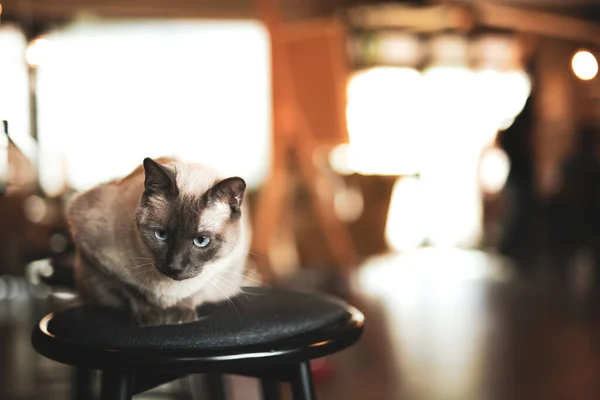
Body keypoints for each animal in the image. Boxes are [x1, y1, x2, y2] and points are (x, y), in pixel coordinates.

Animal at [65, 156, 251, 324]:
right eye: (161, 234)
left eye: (201, 240)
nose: (175, 267)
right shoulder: (98, 257)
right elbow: (131, 288)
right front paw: (152, 317)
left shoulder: (225, 269)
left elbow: (195, 291)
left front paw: (179, 315)